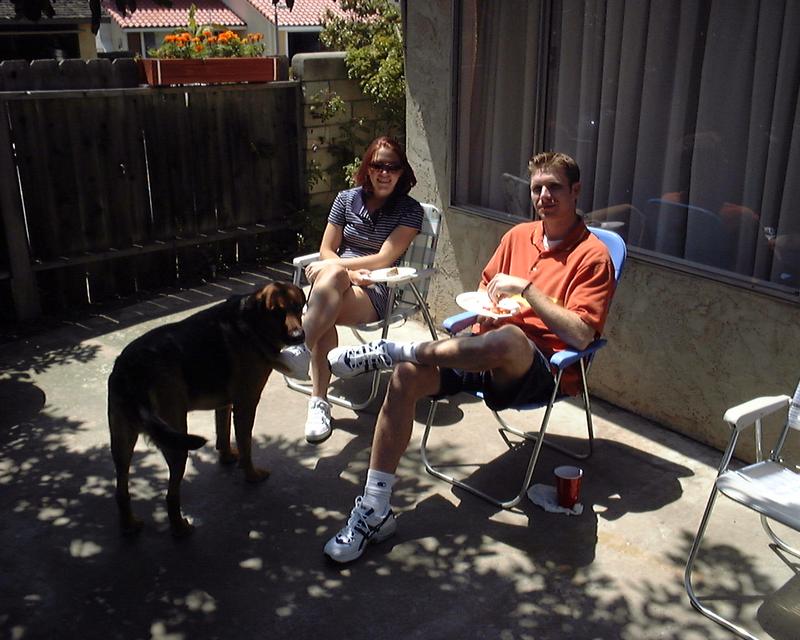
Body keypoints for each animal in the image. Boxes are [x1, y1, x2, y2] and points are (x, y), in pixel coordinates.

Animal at [108, 281, 306, 537]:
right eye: (276, 312)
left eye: (299, 306)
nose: (299, 337)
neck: (251, 321)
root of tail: (131, 369)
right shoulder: (246, 403)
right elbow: (246, 444)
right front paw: (251, 475)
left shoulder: (225, 404)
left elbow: (223, 434)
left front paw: (227, 457)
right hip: (177, 442)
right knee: (170, 495)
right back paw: (180, 528)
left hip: (122, 441)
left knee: (121, 491)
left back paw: (129, 525)